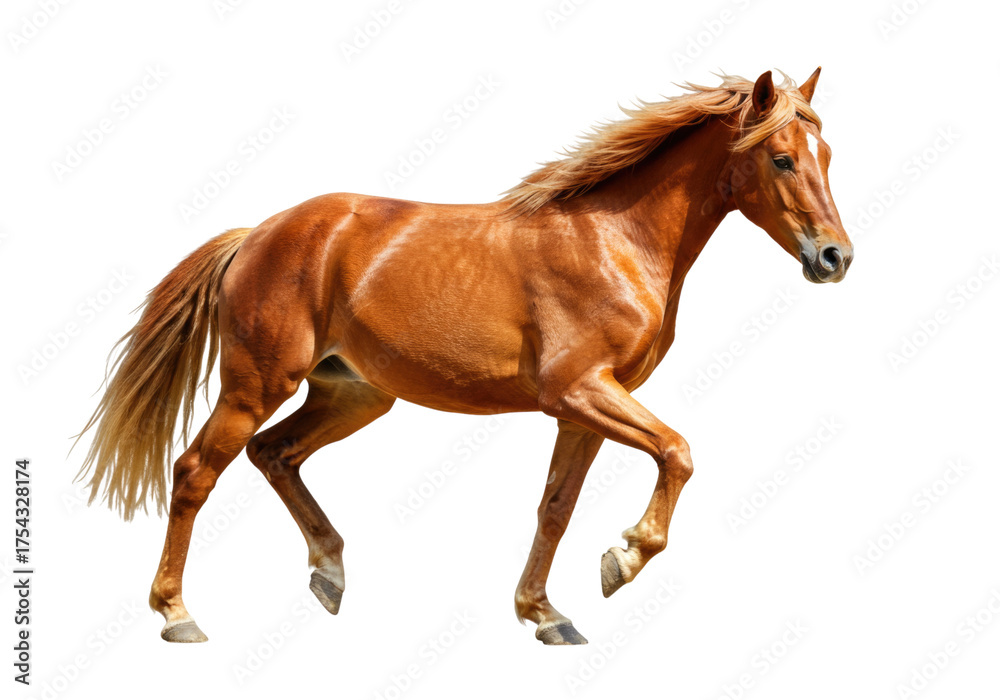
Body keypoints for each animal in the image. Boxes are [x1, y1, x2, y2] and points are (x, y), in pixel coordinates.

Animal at [76, 68, 853, 646]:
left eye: (827, 156)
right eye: (782, 158)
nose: (835, 258)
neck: (615, 239)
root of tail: (258, 234)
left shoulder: (582, 411)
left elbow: (555, 507)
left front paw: (545, 614)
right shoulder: (580, 391)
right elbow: (678, 452)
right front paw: (622, 559)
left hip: (354, 394)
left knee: (275, 454)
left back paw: (329, 574)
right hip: (256, 384)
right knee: (196, 471)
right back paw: (178, 615)